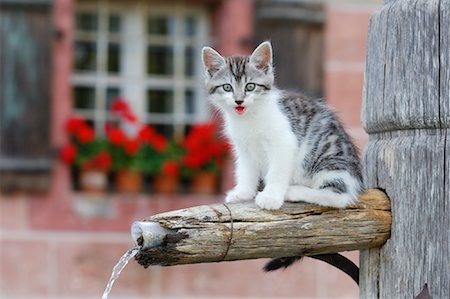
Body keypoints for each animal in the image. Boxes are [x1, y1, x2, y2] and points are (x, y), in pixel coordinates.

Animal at [202, 41, 364, 211]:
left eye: (250, 86)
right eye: (227, 87)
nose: (239, 101)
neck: (248, 118)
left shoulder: (284, 142)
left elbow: (276, 171)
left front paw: (270, 197)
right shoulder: (243, 147)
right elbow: (245, 170)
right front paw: (243, 192)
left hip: (329, 160)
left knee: (338, 196)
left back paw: (293, 191)